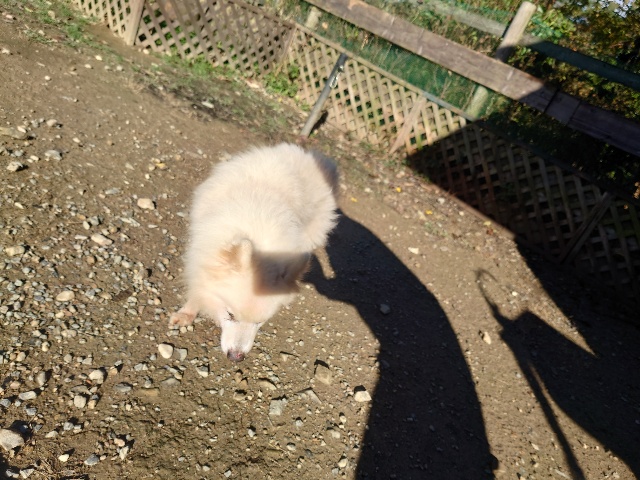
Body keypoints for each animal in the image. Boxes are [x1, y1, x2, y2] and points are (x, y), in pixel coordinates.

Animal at [169, 143, 339, 362]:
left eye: (260, 322)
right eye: (230, 315)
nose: (236, 357)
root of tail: (324, 160)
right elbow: (198, 287)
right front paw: (187, 313)